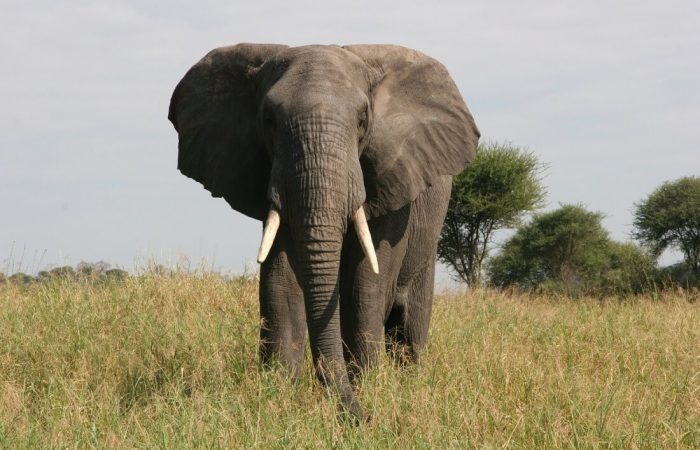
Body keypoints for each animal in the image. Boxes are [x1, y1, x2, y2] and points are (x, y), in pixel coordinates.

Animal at [168, 43, 479, 419]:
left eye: (362, 120)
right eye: (268, 121)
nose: (366, 419)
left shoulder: (391, 176)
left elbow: (366, 281)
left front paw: (367, 389)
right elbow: (280, 280)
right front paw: (276, 399)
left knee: (409, 328)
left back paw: (411, 384)